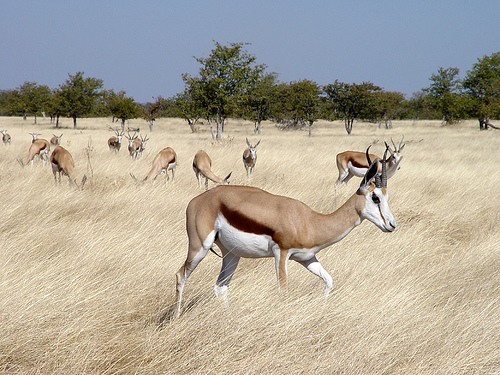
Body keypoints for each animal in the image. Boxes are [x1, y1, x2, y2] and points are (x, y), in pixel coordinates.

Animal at [175, 148, 394, 316]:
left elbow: (328, 281)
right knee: (180, 275)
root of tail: (195, 201)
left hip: (231, 255)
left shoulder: (307, 258)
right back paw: (176, 318)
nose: (391, 225)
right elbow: (283, 292)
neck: (310, 221)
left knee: (220, 288)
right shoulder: (281, 254)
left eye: (386, 196)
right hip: (200, 247)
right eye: (375, 197)